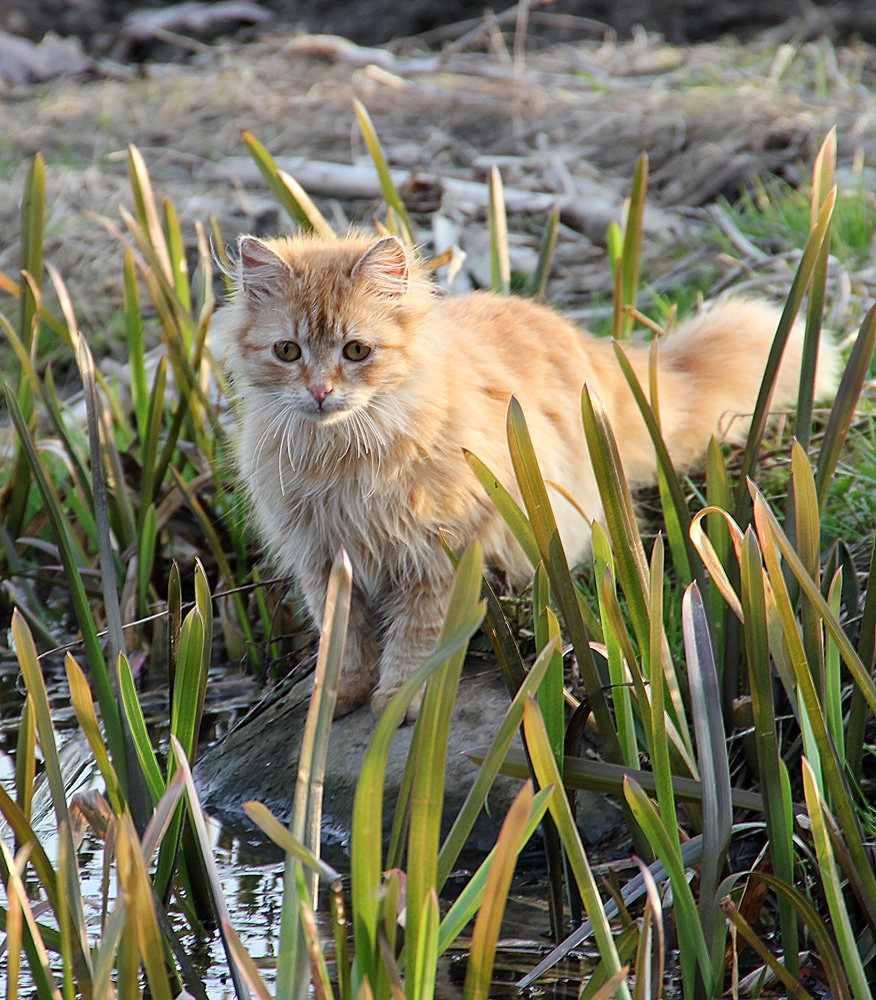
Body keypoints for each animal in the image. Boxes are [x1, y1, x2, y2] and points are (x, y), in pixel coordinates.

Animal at [212, 232, 840, 720]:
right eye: (288, 351)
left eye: (357, 351)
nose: (320, 392)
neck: (338, 458)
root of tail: (591, 346)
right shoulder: (323, 561)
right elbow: (346, 644)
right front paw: (337, 698)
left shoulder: (436, 556)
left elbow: (415, 639)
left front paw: (397, 701)